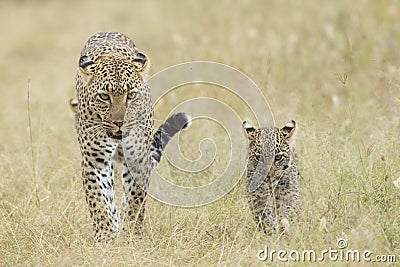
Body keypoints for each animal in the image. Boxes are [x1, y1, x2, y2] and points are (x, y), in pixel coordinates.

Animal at [70, 31, 191, 243]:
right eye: (104, 96)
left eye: (131, 95)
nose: (120, 122)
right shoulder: (94, 161)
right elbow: (99, 201)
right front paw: (106, 237)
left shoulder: (138, 158)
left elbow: (135, 200)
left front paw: (132, 235)